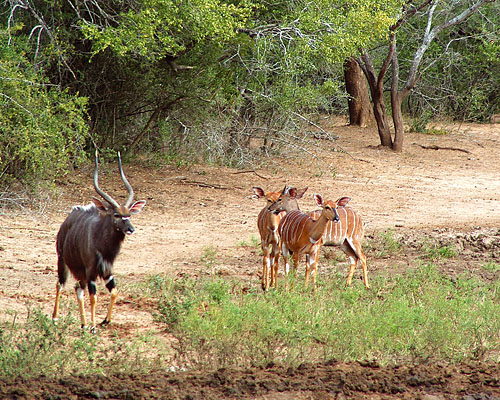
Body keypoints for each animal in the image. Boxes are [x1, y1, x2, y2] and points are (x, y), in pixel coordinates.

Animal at [53, 152, 146, 330]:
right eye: (116, 214)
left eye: (129, 214)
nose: (131, 229)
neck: (103, 246)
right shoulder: (91, 272)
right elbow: (94, 298)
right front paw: (94, 327)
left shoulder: (107, 271)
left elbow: (114, 292)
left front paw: (105, 321)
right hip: (63, 261)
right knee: (60, 285)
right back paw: (55, 319)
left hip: (80, 273)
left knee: (77, 288)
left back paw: (83, 324)